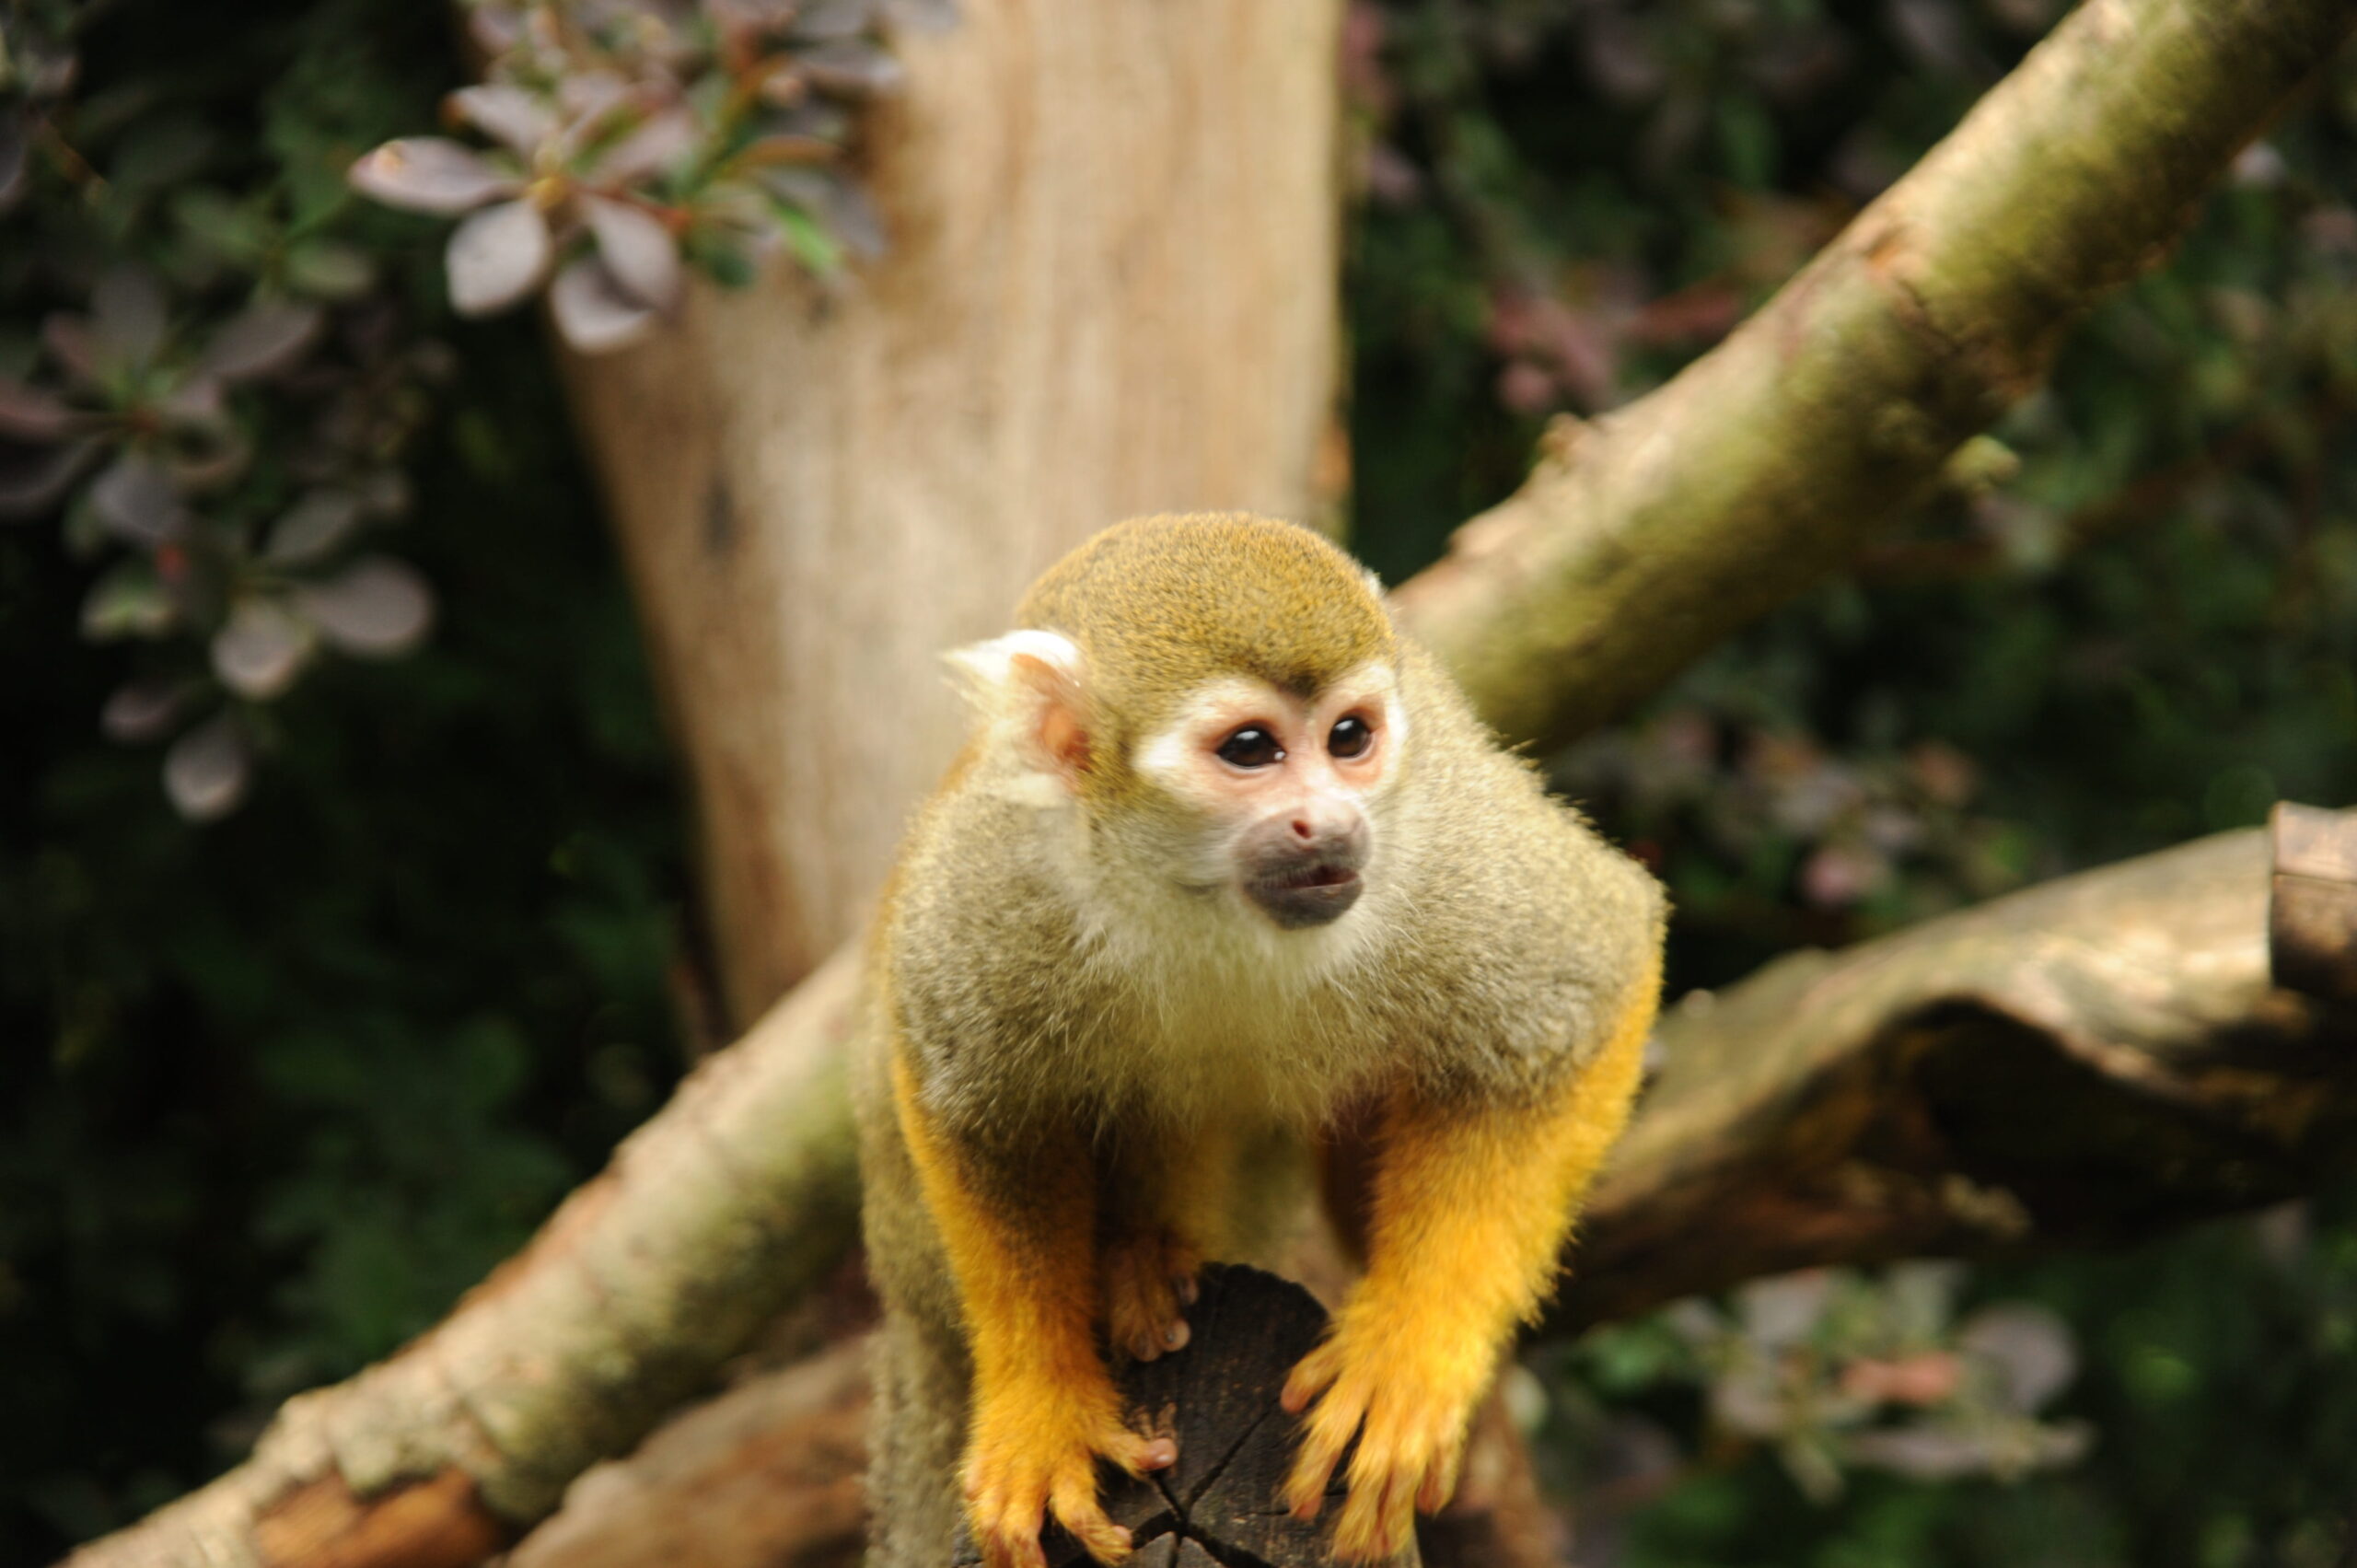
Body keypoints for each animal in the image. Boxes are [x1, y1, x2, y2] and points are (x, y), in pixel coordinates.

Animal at [857, 514, 1668, 1565]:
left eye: (1349, 737)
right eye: (1250, 748)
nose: (1330, 820)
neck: (1197, 899)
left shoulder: (1438, 842)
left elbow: (1589, 984)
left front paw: (1409, 1355)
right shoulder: (995, 871)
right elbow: (976, 1104)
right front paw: (1042, 1406)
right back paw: (1138, 1259)